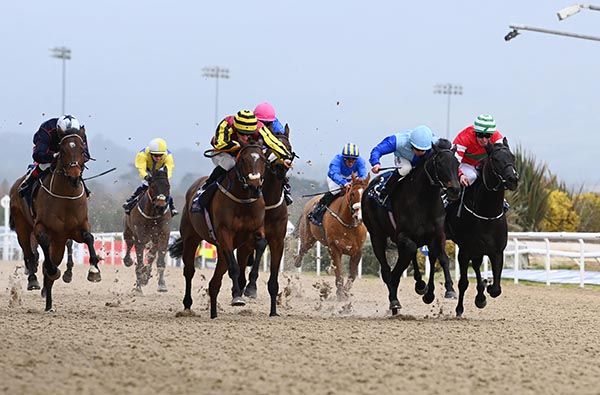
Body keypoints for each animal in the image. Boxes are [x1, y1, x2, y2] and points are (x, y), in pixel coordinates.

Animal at [9, 127, 101, 312]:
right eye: (63, 150)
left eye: (82, 150)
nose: (74, 177)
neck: (66, 197)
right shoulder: (41, 227)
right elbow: (44, 253)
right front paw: (52, 271)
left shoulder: (76, 229)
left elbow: (89, 238)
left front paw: (94, 270)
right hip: (22, 227)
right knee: (29, 254)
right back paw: (34, 281)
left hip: (58, 243)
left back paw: (49, 304)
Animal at [166, 144, 264, 320]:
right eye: (243, 160)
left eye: (264, 160)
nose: (255, 187)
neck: (243, 201)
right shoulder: (225, 233)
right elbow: (234, 267)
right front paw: (237, 296)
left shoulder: (254, 230)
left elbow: (260, 245)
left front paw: (251, 287)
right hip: (191, 237)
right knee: (189, 270)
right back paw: (187, 305)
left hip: (220, 248)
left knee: (215, 282)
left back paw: (214, 313)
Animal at [237, 125, 296, 318]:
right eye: (271, 147)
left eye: (288, 147)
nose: (280, 166)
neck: (269, 204)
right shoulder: (252, 236)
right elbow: (261, 244)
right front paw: (250, 287)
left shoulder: (278, 240)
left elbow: (273, 279)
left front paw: (273, 311)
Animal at [360, 139, 460, 316]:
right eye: (440, 164)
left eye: (457, 163)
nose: (455, 190)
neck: (424, 200)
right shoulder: (402, 236)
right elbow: (406, 258)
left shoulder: (437, 235)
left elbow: (443, 258)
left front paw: (449, 289)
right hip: (377, 236)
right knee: (386, 270)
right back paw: (394, 300)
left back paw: (417, 286)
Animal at [446, 139, 520, 318]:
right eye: (495, 159)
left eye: (513, 157)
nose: (513, 179)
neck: (486, 214)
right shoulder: (464, 250)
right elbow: (463, 282)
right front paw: (459, 309)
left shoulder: (497, 252)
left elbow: (497, 289)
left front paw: (485, 290)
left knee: (477, 266)